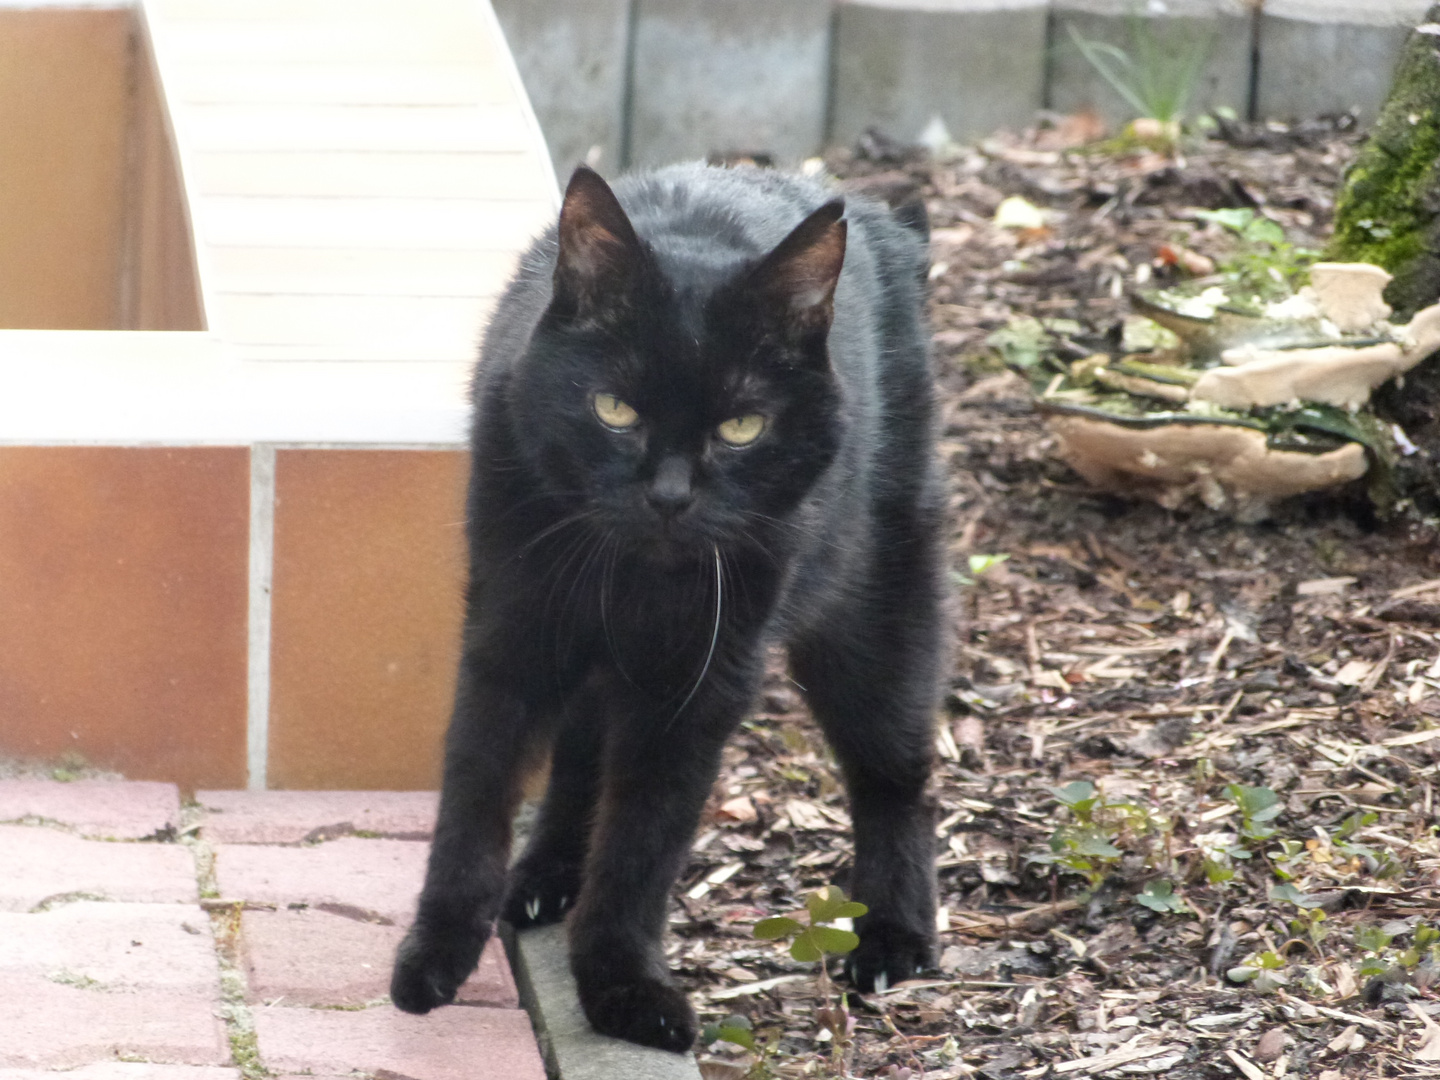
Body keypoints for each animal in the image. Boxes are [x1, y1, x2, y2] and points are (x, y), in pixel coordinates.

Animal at [391, 164, 944, 1054]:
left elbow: (643, 841)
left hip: (877, 615)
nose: (671, 496)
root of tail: (887, 221)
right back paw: (544, 875)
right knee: (581, 749)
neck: (631, 576)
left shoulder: (700, 685)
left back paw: (893, 936)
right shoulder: (510, 637)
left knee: (896, 773)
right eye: (615, 410)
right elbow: (475, 797)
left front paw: (624, 988)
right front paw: (435, 958)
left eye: (743, 426)